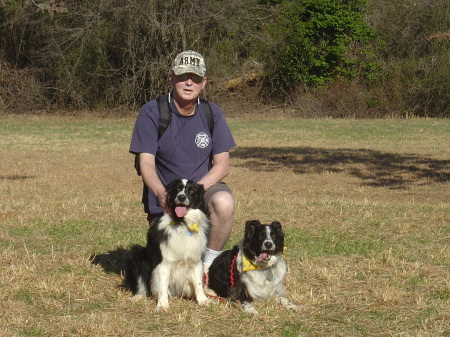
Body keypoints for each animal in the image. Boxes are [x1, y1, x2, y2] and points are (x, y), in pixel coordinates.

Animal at [124, 178, 210, 310]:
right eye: (177, 189)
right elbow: (162, 285)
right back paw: (137, 297)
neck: (182, 223)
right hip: (138, 254)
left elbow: (198, 282)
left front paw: (203, 300)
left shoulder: (195, 259)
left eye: (192, 191)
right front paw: (162, 305)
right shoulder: (163, 262)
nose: (181, 197)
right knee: (142, 285)